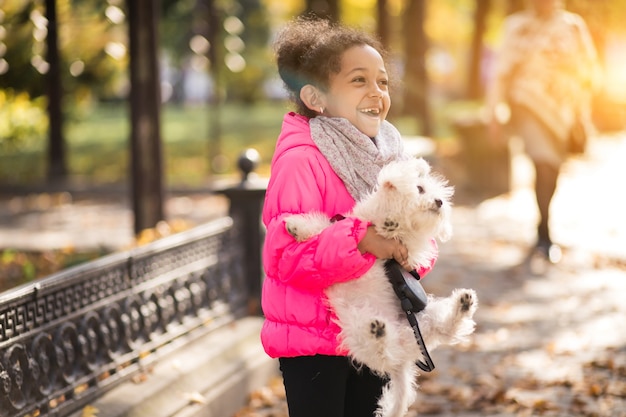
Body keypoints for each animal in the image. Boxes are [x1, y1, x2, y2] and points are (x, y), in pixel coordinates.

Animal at [286, 157, 476, 416]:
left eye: (440, 195)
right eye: (420, 189)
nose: (439, 201)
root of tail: (402, 357)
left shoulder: (409, 253)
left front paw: (389, 227)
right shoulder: (347, 226)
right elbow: (324, 228)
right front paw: (296, 226)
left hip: (422, 320)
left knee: (442, 330)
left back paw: (463, 304)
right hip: (358, 327)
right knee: (382, 351)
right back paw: (379, 331)